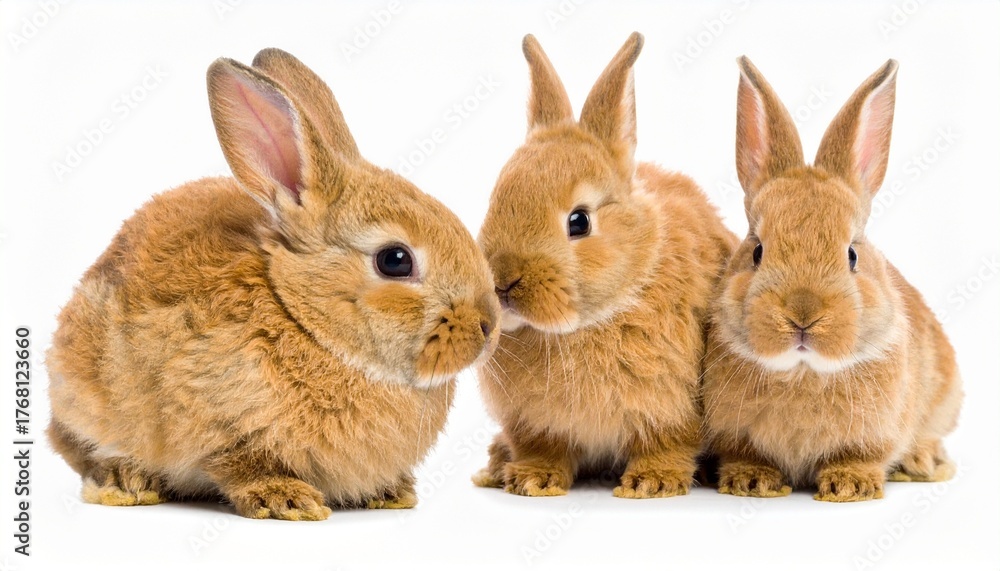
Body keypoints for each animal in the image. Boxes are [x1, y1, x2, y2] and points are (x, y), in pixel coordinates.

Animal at [45, 48, 500, 520]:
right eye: (395, 260)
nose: (488, 327)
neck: (301, 318)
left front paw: (391, 493)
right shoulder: (216, 415)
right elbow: (241, 462)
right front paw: (286, 499)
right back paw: (125, 483)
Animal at [472, 33, 737, 498]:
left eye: (579, 221)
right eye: (496, 198)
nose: (503, 282)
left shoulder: (671, 408)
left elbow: (666, 442)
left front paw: (651, 483)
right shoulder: (535, 424)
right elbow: (544, 448)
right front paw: (533, 479)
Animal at [702, 56, 963, 502]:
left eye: (852, 255)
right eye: (757, 252)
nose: (803, 314)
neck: (803, 371)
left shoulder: (875, 435)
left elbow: (861, 457)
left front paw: (850, 485)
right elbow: (746, 456)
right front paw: (751, 481)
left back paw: (923, 462)